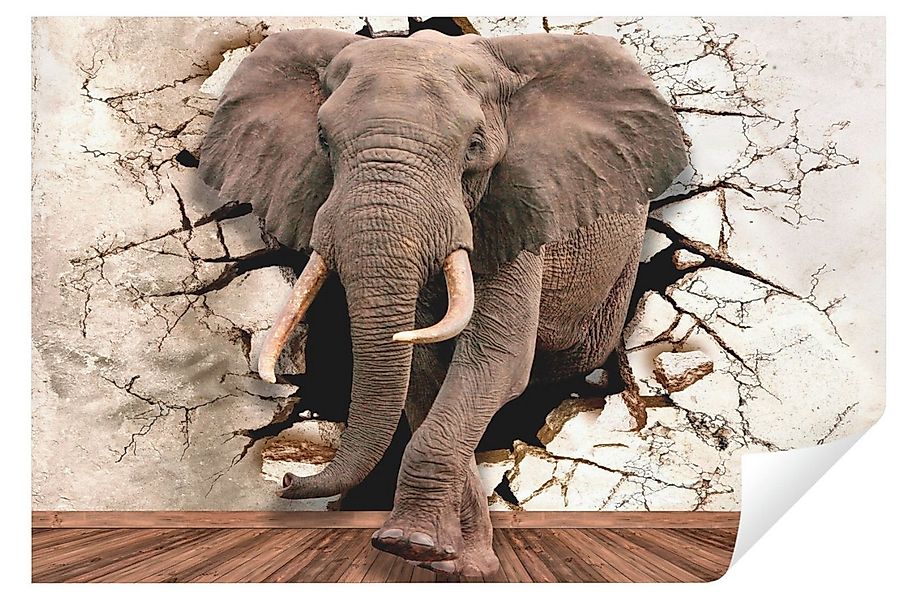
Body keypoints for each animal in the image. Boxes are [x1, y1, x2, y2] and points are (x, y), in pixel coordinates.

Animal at [198, 28, 688, 576]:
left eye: (474, 145)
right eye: (322, 140)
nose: (286, 480)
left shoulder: (514, 212)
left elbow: (495, 363)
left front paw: (417, 548)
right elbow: (425, 373)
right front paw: (447, 560)